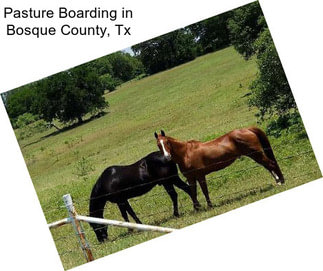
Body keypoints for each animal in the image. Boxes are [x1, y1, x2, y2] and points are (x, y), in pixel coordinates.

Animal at [156, 128, 284, 210]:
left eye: (167, 142)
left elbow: (204, 191)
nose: (167, 157)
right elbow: (193, 192)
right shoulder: (191, 178)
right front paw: (197, 208)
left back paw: (281, 182)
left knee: (271, 164)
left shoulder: (200, 175)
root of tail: (248, 129)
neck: (186, 153)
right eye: (158, 144)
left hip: (256, 154)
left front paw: (210, 206)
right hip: (256, 155)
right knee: (269, 166)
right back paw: (278, 181)